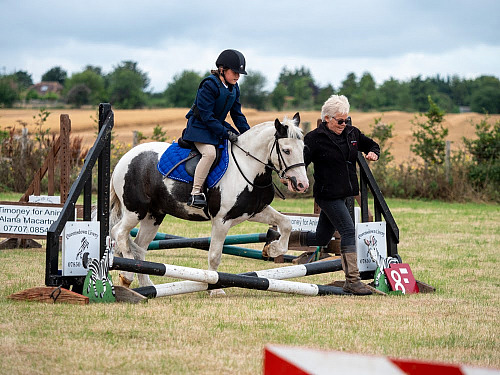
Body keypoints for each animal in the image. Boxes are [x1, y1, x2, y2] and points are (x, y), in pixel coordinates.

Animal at [110, 113, 310, 296]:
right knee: (119, 233)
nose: (302, 184)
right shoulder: (222, 220)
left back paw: (145, 286)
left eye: (303, 148)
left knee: (139, 248)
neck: (248, 167)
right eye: (286, 150)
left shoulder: (255, 211)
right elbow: (214, 256)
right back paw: (127, 275)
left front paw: (272, 249)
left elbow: (286, 223)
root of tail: (125, 158)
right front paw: (215, 288)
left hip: (153, 216)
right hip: (135, 211)